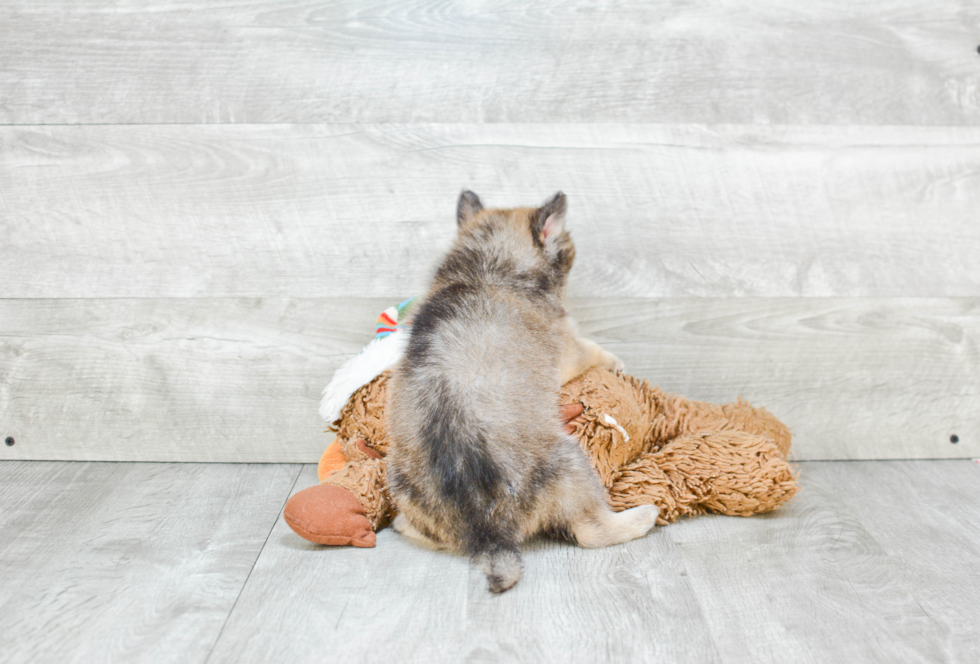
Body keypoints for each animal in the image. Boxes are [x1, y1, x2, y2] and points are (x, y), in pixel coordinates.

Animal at [384, 191, 660, 592]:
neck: (485, 263)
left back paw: (402, 524)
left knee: (419, 531)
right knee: (590, 531)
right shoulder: (570, 352)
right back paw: (641, 516)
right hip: (573, 461)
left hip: (400, 486)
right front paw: (615, 361)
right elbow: (592, 349)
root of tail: (489, 534)